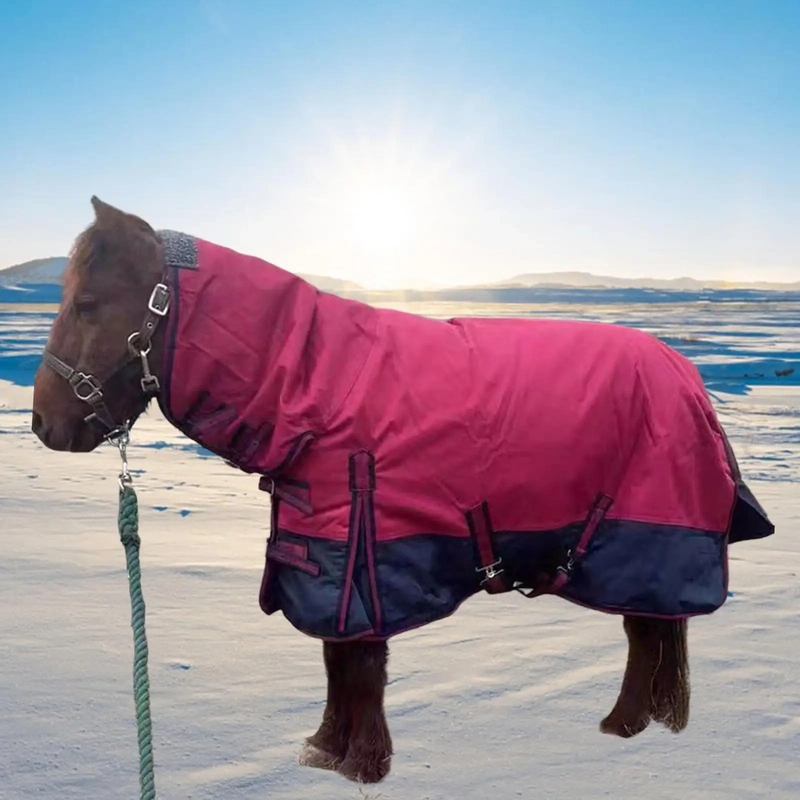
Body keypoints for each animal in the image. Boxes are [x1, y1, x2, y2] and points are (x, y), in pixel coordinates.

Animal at [31, 197, 775, 784]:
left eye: (88, 305)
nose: (43, 424)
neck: (318, 388)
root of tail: (688, 375)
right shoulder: (324, 552)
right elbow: (337, 662)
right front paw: (326, 752)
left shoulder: (361, 558)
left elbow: (360, 664)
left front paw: (362, 764)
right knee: (652, 632)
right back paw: (641, 723)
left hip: (649, 538)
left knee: (647, 633)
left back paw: (624, 724)